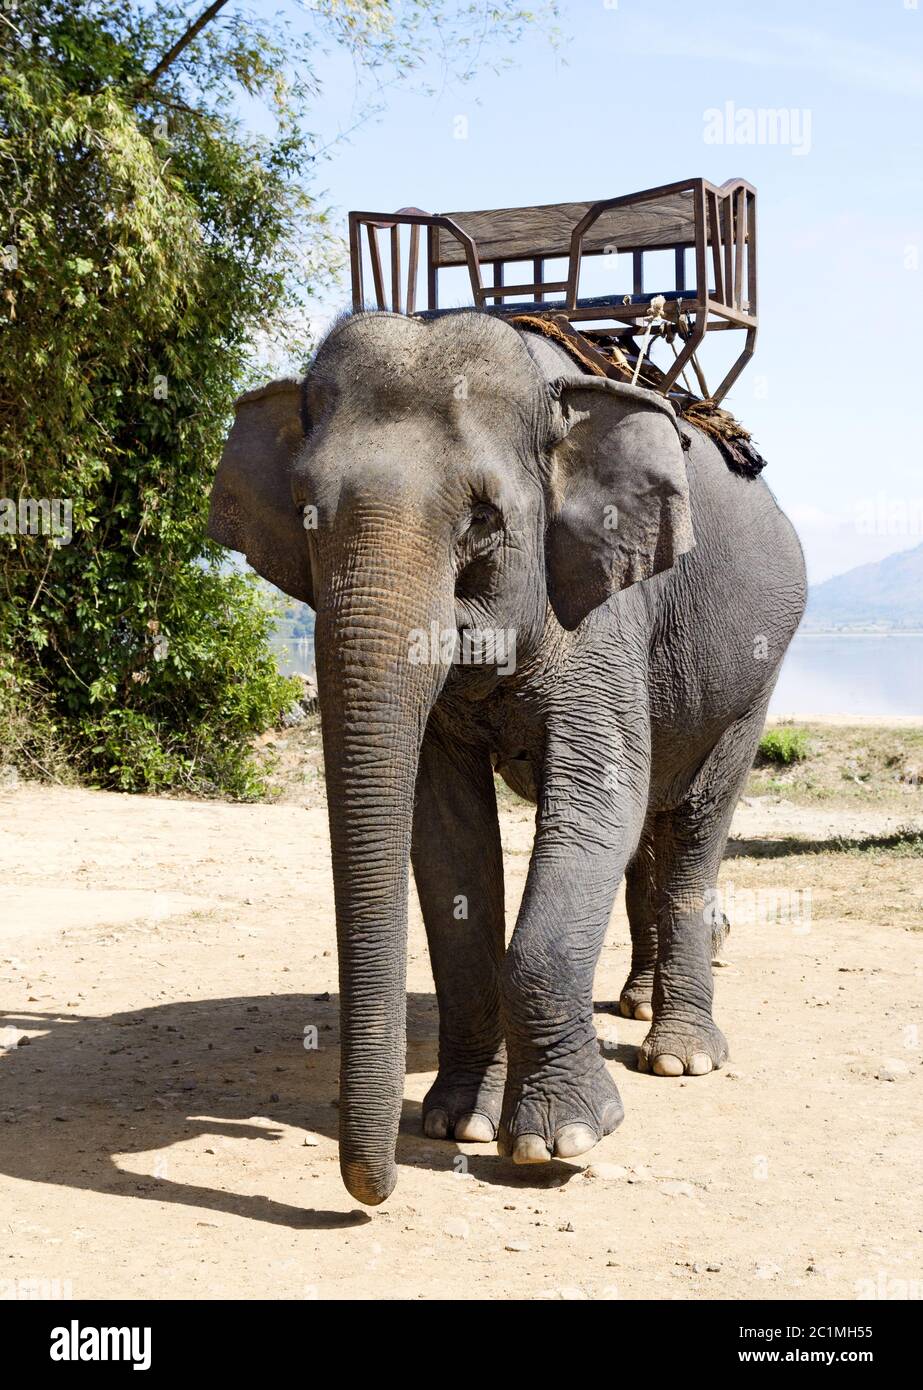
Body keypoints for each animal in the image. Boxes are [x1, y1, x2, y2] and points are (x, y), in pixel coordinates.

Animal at [208, 309, 806, 1206]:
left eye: (482, 520)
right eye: (305, 512)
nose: (368, 1195)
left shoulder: (604, 606)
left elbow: (597, 800)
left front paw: (557, 1141)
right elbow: (444, 834)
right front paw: (456, 1124)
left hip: (754, 673)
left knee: (693, 819)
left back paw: (679, 1055)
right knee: (652, 829)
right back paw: (634, 1008)